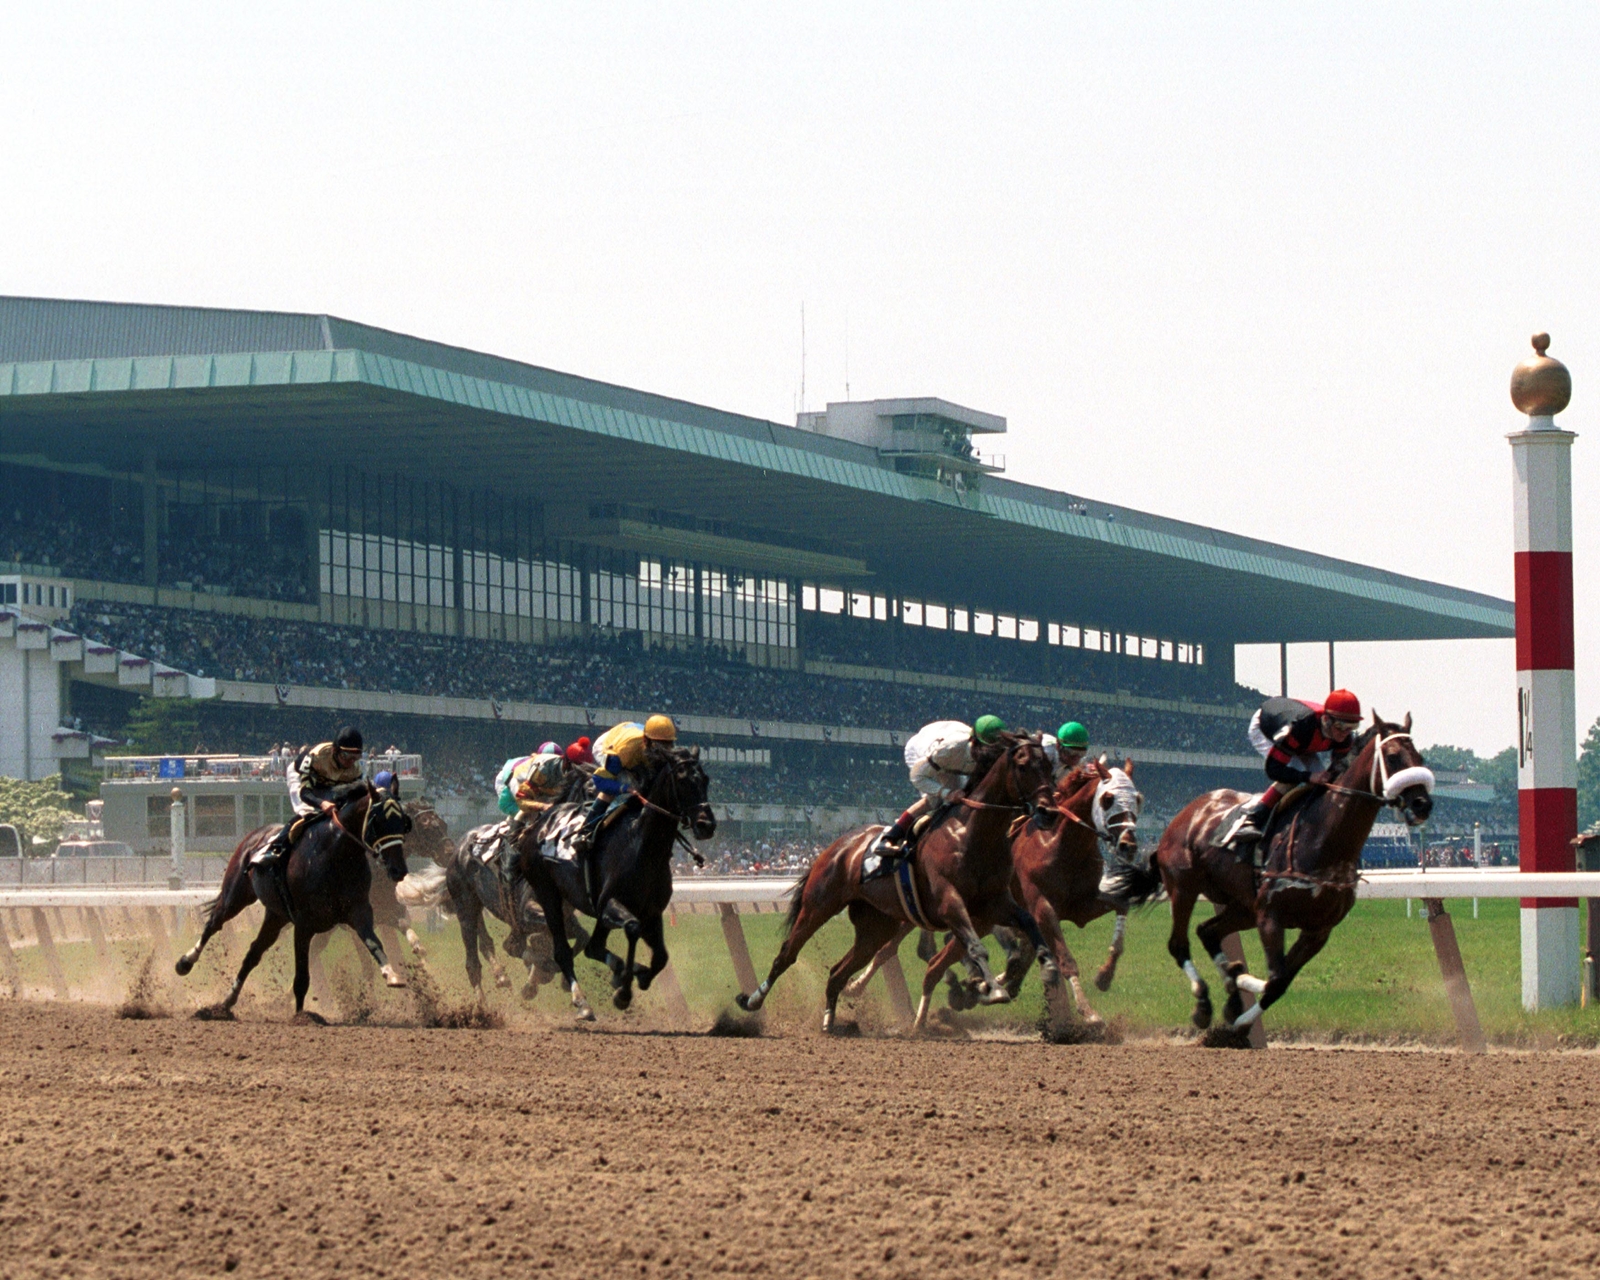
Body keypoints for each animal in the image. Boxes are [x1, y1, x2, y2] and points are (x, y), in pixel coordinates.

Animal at [173, 780, 412, 1017]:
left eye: (403, 823)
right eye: (377, 822)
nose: (398, 869)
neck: (336, 855)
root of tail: (255, 835)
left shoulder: (359, 911)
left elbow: (373, 942)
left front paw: (391, 974)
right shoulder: (304, 924)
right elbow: (302, 976)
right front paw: (301, 1016)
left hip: (276, 915)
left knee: (253, 952)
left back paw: (227, 1002)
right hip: (236, 895)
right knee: (214, 923)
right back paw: (185, 962)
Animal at [515, 745, 716, 1017]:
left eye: (705, 779)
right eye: (683, 780)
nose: (707, 825)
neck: (642, 846)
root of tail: (539, 823)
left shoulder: (651, 912)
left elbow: (660, 957)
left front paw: (637, 976)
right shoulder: (610, 903)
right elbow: (632, 928)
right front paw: (624, 992)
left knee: (593, 947)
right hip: (547, 893)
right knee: (563, 951)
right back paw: (582, 1001)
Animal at [736, 729, 1062, 1030]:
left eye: (1048, 766)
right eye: (1023, 766)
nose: (1048, 811)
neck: (972, 835)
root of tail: (837, 845)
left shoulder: (994, 903)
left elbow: (1029, 923)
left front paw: (1049, 966)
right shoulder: (949, 902)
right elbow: (975, 946)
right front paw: (993, 988)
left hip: (877, 925)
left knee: (839, 971)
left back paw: (830, 1021)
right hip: (818, 905)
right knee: (787, 955)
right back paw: (752, 1001)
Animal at [844, 761, 1158, 1017]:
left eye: (1138, 798)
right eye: (1107, 798)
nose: (1128, 845)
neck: (1061, 844)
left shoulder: (1082, 905)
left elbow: (1121, 905)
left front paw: (1105, 974)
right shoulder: (1041, 905)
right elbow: (1062, 956)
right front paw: (1087, 1010)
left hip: (978, 918)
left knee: (939, 954)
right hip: (916, 910)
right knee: (888, 948)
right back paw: (856, 985)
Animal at [1158, 713, 1433, 1036]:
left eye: (1420, 758)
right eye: (1392, 757)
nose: (1423, 804)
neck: (1323, 842)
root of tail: (1188, 812)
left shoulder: (1318, 930)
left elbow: (1281, 981)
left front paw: (1239, 1011)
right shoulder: (1270, 917)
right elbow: (1276, 977)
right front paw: (1239, 992)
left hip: (1243, 907)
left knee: (1207, 931)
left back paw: (1231, 992)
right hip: (1184, 888)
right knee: (1179, 944)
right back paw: (1203, 1003)